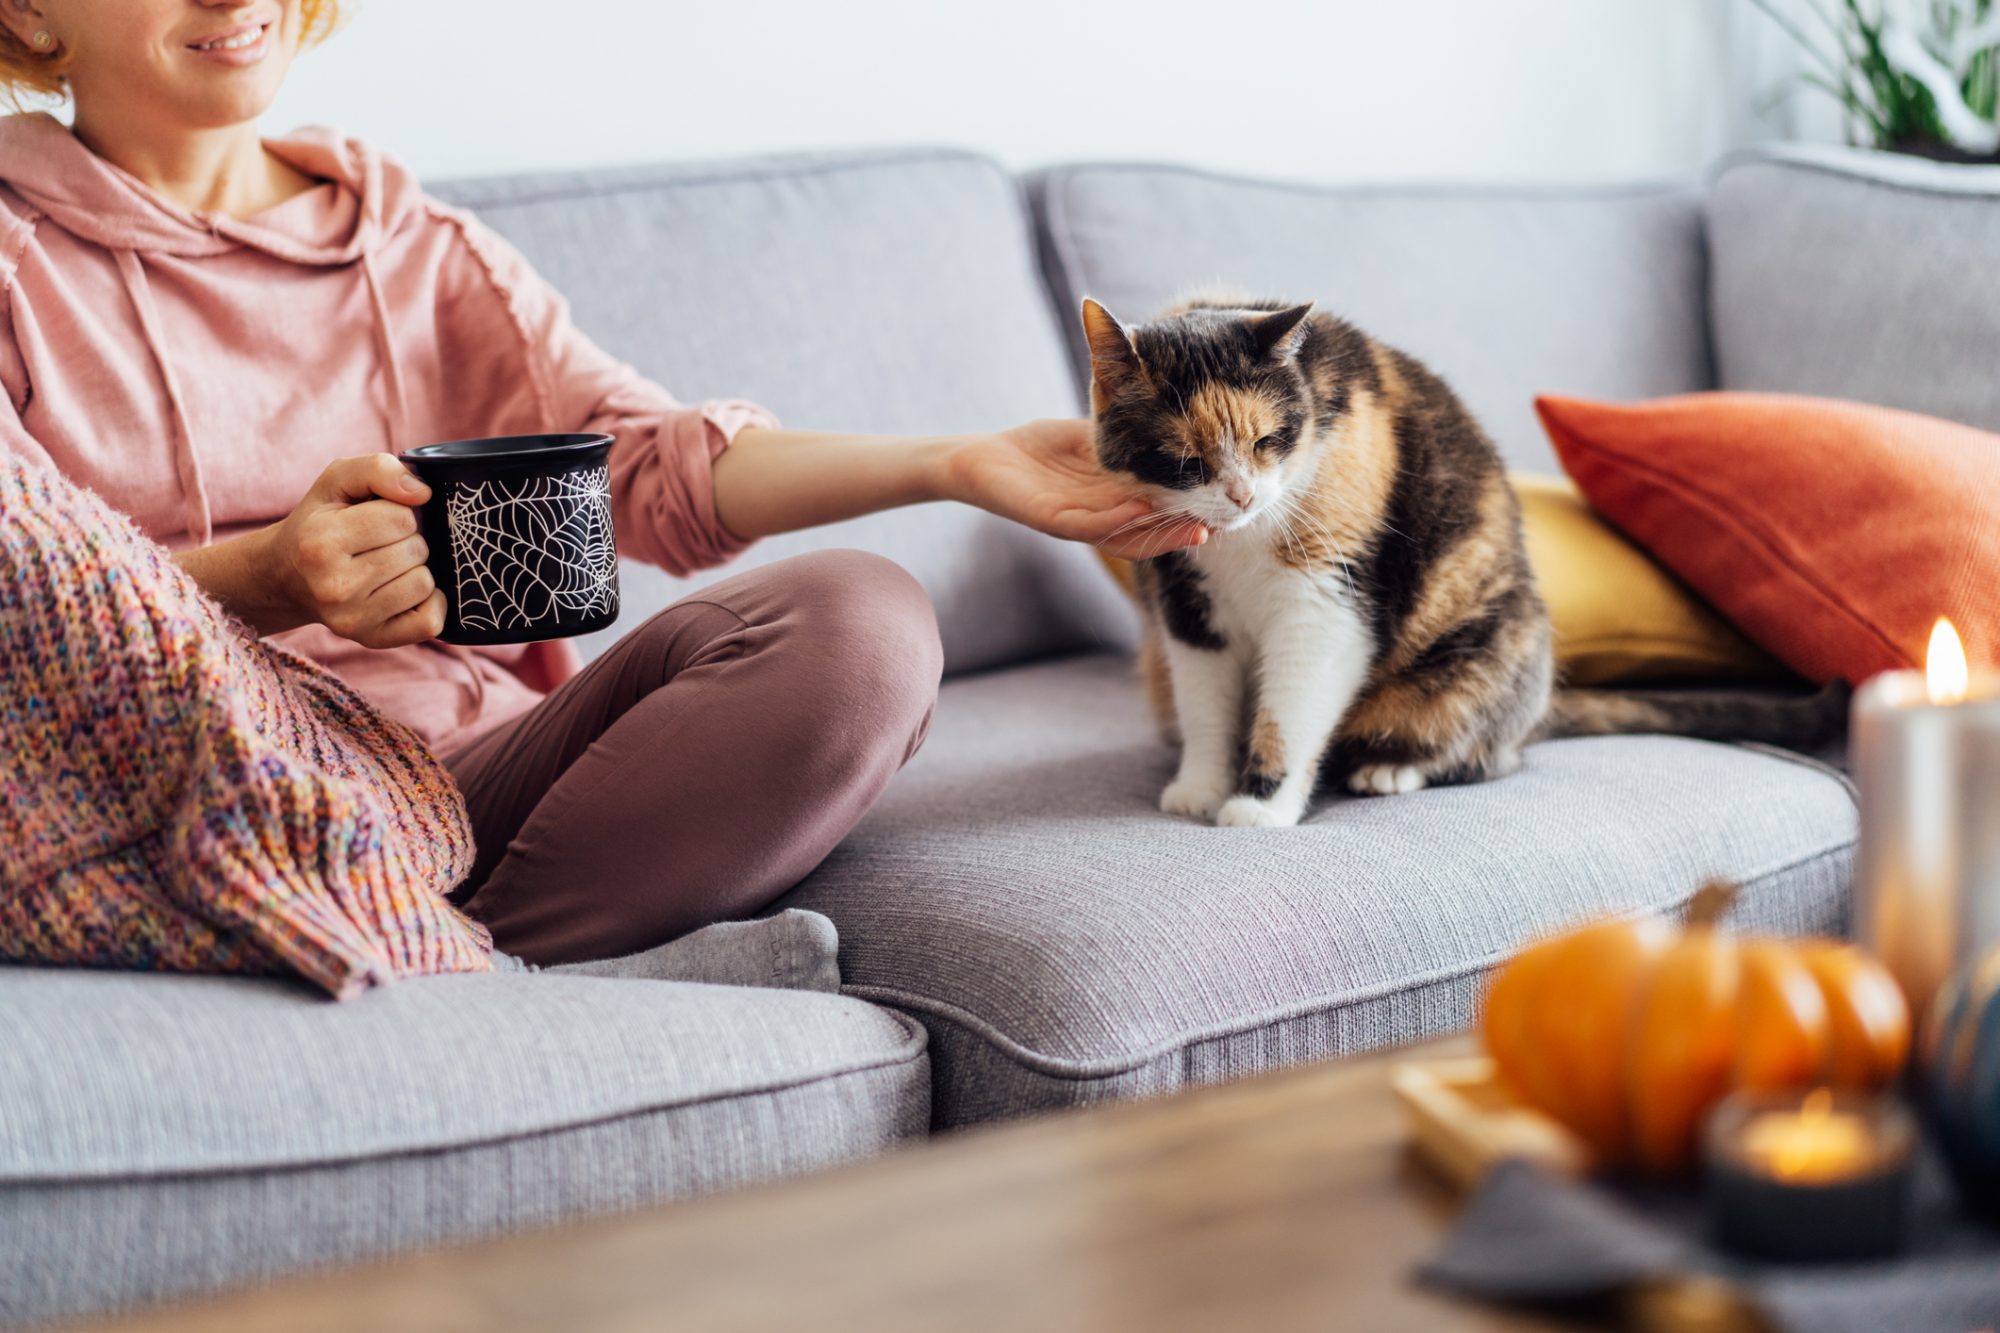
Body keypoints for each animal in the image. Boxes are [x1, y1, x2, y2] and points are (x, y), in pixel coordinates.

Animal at [1088, 296, 1848, 824]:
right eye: (1187, 461)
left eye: (1269, 440)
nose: (1243, 493)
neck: (1242, 541)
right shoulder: (1188, 606)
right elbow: (1205, 706)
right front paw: (1200, 787)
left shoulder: (1325, 603)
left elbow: (1292, 708)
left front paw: (1259, 805)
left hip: (1482, 649)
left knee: (1488, 752)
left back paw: (1389, 770)